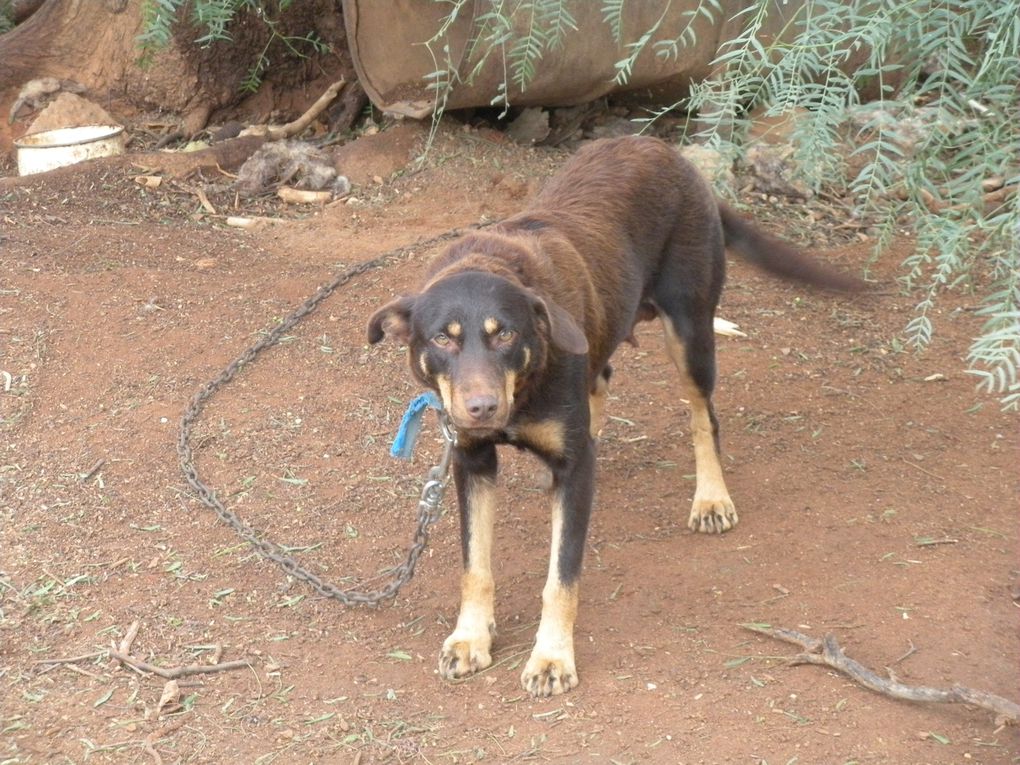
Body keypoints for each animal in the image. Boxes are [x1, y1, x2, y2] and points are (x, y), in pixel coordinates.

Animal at [367, 134, 860, 697]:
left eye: (506, 333)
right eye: (441, 339)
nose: (481, 409)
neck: (526, 386)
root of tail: (665, 149)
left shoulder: (571, 469)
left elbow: (561, 577)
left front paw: (552, 658)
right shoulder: (472, 462)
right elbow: (475, 565)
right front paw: (471, 638)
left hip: (690, 329)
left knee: (703, 416)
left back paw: (711, 497)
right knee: (602, 377)